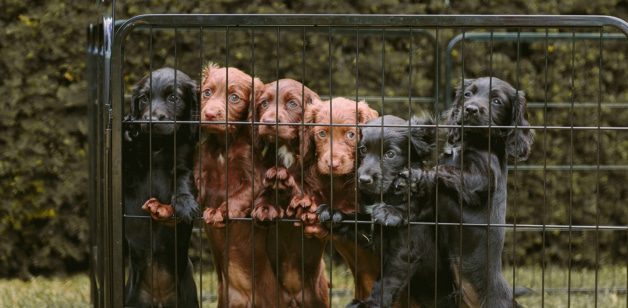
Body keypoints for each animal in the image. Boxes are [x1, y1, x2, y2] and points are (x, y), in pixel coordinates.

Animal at [121, 67, 200, 308]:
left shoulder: (184, 162)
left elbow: (183, 182)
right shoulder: (131, 175)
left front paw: (185, 205)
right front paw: (129, 130)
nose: (150, 120)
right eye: (144, 98)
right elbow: (127, 162)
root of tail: (158, 298)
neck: (158, 145)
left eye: (173, 98)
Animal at [194, 62, 278, 308]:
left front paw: (219, 212)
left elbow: (238, 196)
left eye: (234, 97)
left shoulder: (254, 178)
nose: (209, 114)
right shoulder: (201, 172)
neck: (224, 145)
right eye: (207, 92)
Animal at [394, 77, 532, 308]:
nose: (471, 109)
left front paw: (415, 176)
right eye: (468, 94)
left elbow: (443, 170)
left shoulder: (482, 180)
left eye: (496, 101)